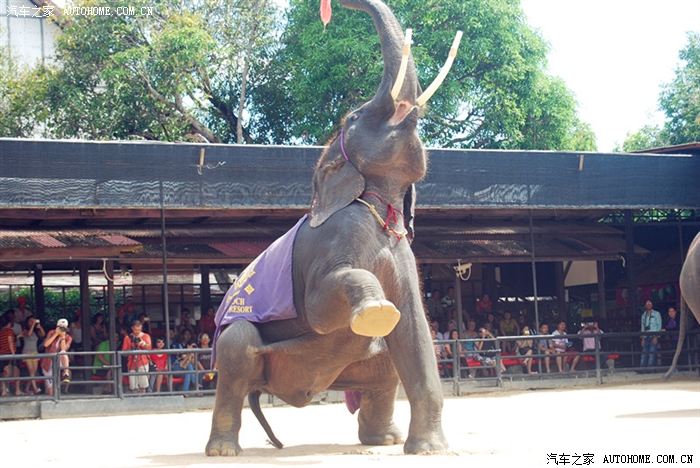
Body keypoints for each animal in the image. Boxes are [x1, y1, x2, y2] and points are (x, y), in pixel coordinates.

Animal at [205, 0, 460, 456]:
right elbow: (322, 309)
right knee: (236, 350)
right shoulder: (332, 240)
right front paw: (377, 312)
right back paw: (222, 451)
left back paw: (385, 439)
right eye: (355, 116)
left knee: (384, 364)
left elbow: (415, 330)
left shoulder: (403, 252)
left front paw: (430, 450)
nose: (339, 6)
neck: (375, 201)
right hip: (250, 355)